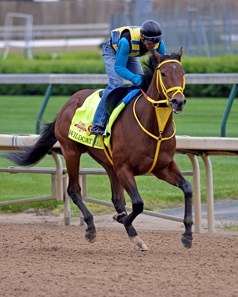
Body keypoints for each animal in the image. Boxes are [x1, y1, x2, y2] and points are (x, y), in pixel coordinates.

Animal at [6, 48, 193, 250]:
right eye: (164, 73)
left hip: (108, 162)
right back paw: (91, 228)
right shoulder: (124, 168)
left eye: (183, 74)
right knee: (73, 190)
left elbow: (188, 188)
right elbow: (138, 203)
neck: (154, 127)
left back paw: (131, 232)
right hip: (71, 151)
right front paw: (123, 220)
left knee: (117, 198)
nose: (178, 101)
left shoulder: (162, 167)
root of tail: (68, 102)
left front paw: (188, 235)